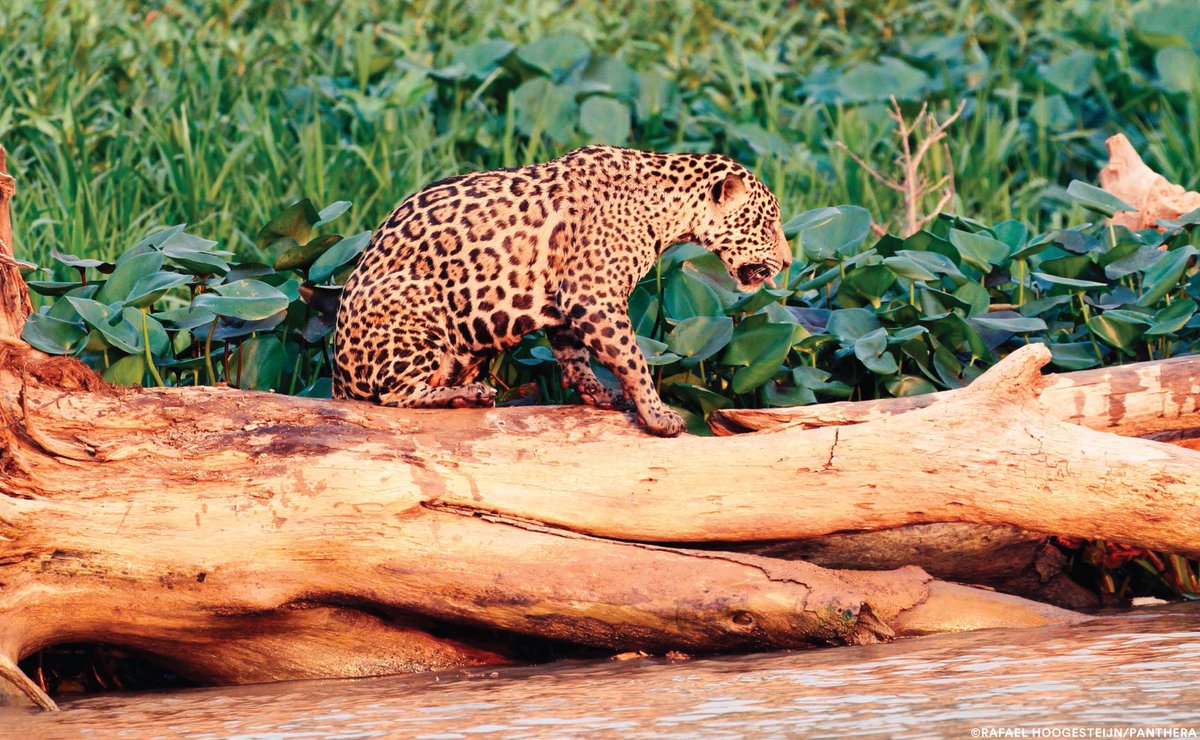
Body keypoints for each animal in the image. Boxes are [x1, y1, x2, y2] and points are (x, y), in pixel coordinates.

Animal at [332, 145, 792, 437]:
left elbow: (574, 353)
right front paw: (657, 414)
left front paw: (596, 392)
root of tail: (337, 379)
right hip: (416, 312)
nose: (788, 263)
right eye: (768, 224)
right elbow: (633, 358)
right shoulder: (596, 296)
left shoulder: (568, 301)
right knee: (394, 395)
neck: (669, 211)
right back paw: (467, 395)